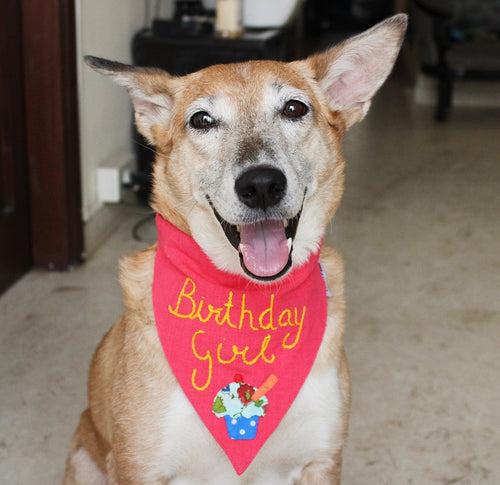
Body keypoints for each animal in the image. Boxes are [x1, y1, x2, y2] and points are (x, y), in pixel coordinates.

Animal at [64, 15, 406, 484]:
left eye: (295, 109)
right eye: (202, 119)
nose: (261, 185)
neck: (244, 299)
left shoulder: (321, 460)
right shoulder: (140, 468)